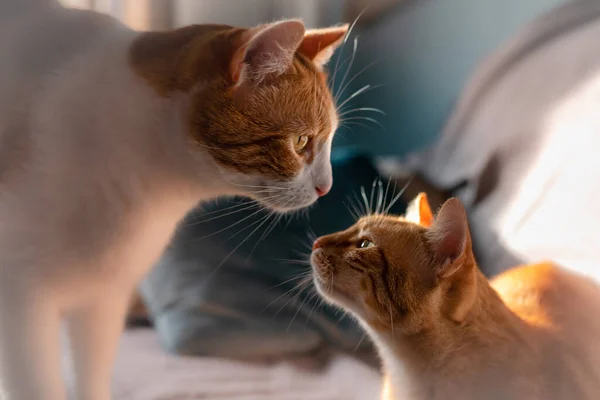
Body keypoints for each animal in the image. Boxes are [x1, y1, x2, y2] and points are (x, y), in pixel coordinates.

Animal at [0, 0, 350, 400]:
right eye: (301, 142)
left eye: (329, 140)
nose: (327, 187)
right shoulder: (23, 301)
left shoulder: (102, 299)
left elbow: (92, 377)